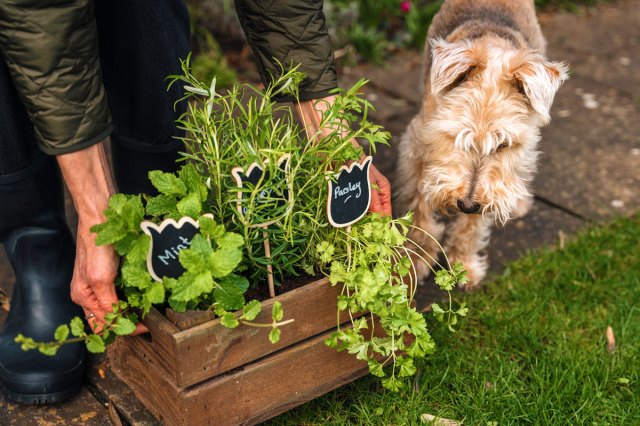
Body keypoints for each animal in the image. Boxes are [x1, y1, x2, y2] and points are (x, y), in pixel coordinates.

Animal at [398, 0, 568, 288]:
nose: (467, 206)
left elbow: (472, 225)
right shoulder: (416, 150)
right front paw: (417, 260)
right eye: (457, 136)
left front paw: (463, 264)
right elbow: (420, 210)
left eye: (503, 145)